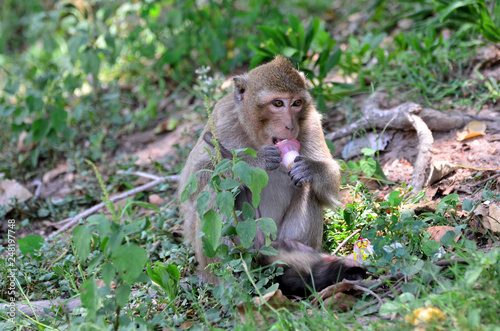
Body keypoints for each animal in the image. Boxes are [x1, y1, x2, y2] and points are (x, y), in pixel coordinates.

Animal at [178, 55, 366, 296]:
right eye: (277, 104)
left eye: (296, 103)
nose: (290, 125)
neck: (256, 137)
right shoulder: (220, 120)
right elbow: (192, 185)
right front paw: (255, 162)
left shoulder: (311, 122)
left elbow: (329, 186)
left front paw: (311, 169)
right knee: (216, 191)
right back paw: (232, 285)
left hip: (276, 238)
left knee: (306, 189)